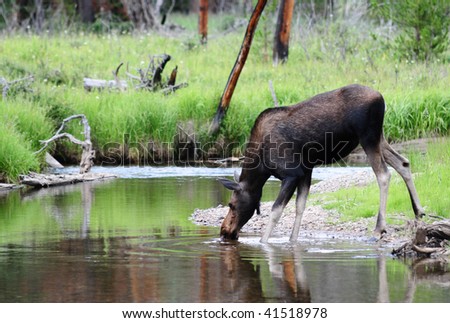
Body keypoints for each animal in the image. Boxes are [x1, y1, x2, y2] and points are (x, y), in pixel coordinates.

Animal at [219, 83, 426, 243]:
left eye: (231, 204)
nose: (224, 231)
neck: (261, 167)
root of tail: (381, 97)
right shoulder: (306, 171)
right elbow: (300, 206)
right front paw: (292, 241)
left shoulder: (291, 173)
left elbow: (276, 210)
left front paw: (263, 242)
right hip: (378, 137)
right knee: (403, 163)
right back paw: (419, 212)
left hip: (368, 137)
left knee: (383, 174)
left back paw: (379, 228)